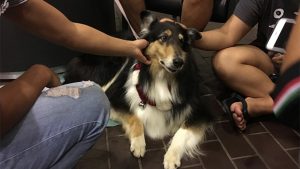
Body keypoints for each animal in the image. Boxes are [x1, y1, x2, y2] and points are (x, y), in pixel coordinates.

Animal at [64, 10, 219, 169]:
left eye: (182, 41)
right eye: (163, 38)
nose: (178, 62)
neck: (162, 76)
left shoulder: (201, 111)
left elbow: (182, 131)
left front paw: (171, 156)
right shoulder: (115, 100)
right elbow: (135, 117)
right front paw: (138, 144)